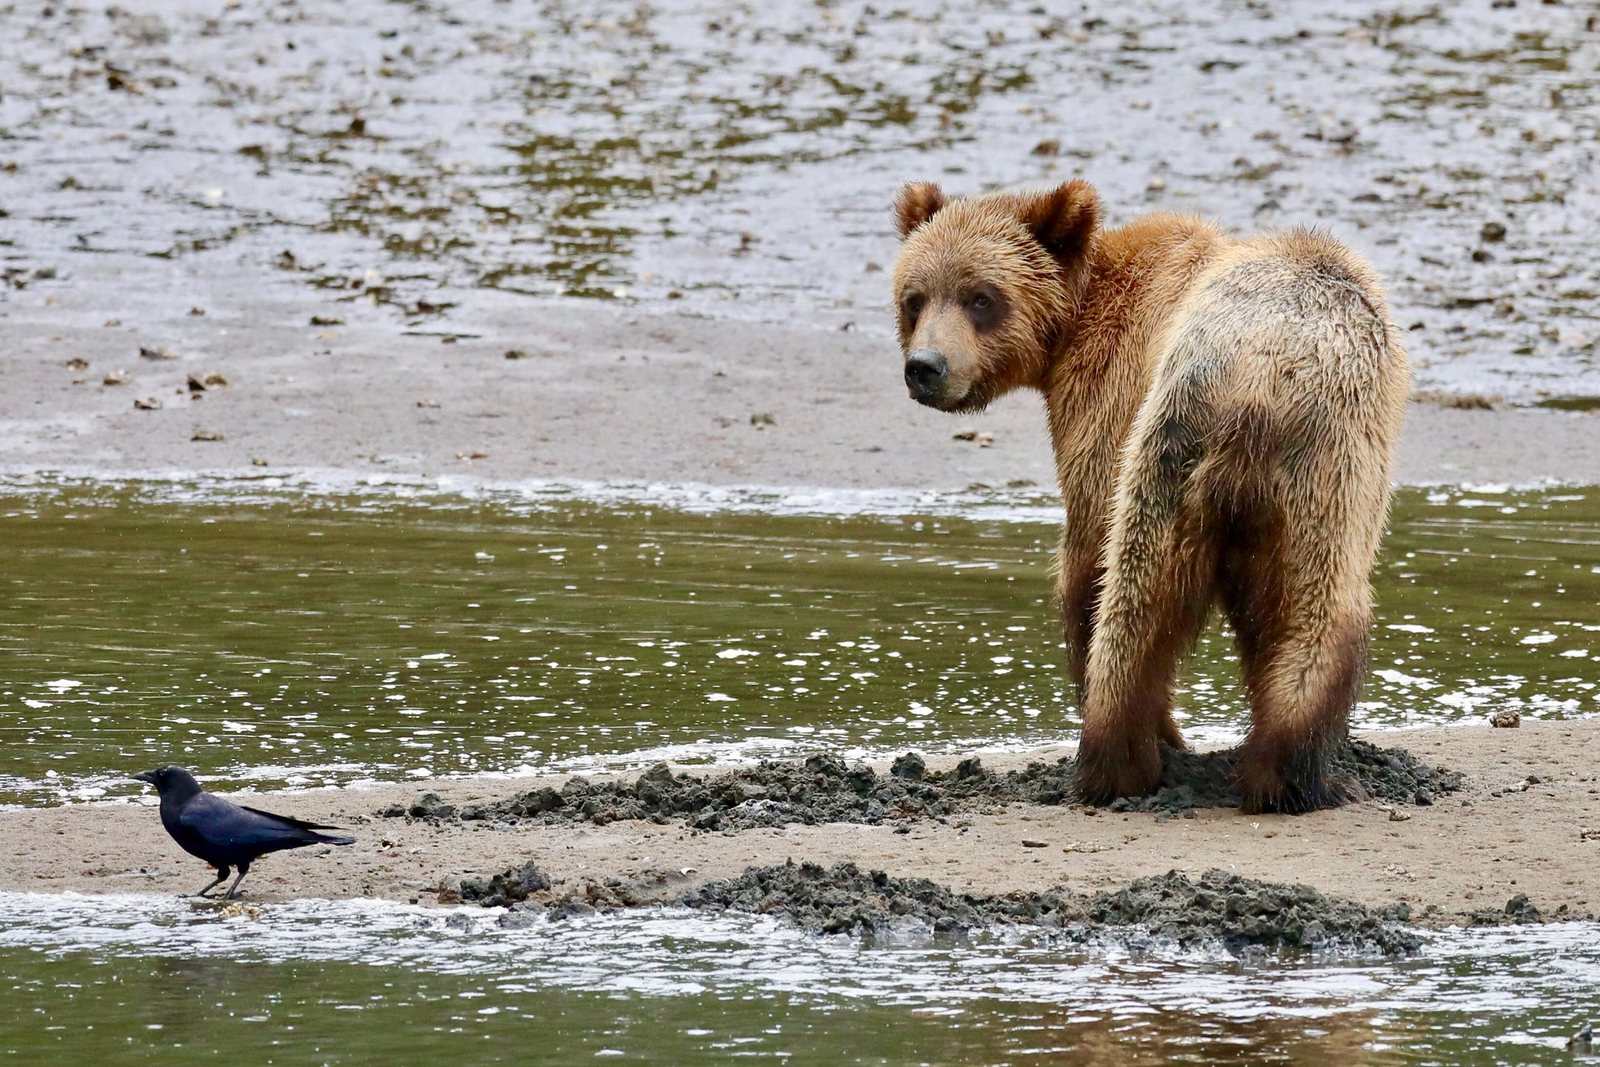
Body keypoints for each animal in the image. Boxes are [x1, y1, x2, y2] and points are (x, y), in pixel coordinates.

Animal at [890, 179, 1410, 814]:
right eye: (915, 298)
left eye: (981, 297)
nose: (926, 368)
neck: (1075, 323)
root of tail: (1260, 377)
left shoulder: (1107, 399)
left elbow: (1088, 552)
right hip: (1305, 466)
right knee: (1298, 608)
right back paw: (1278, 773)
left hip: (1206, 444)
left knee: (1146, 594)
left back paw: (1131, 765)